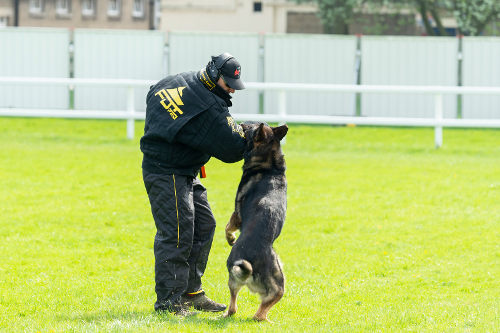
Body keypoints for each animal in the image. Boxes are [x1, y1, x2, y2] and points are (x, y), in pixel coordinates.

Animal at [224, 122, 290, 322]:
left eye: (248, 127)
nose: (241, 123)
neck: (270, 165)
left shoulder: (237, 214)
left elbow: (228, 227)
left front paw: (231, 238)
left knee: (243, 310)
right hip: (278, 286)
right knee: (251, 311)